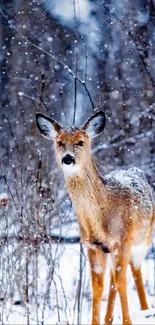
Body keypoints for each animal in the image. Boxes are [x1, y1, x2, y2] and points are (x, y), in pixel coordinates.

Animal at [36, 110, 154, 322]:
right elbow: (98, 287)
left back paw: (145, 309)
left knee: (135, 271)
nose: (67, 158)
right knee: (114, 279)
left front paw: (127, 322)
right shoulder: (92, 245)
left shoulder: (123, 239)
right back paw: (109, 319)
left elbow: (122, 282)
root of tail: (136, 170)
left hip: (143, 239)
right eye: (59, 142)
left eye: (81, 142)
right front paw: (96, 322)